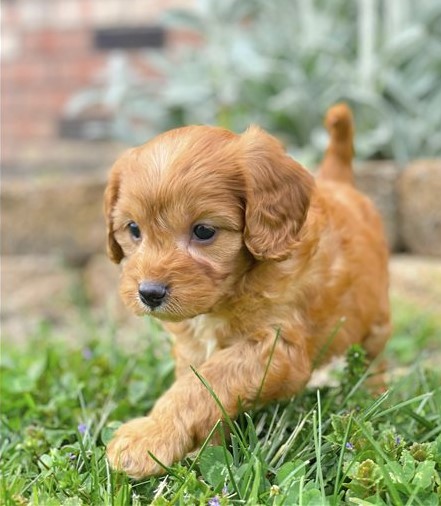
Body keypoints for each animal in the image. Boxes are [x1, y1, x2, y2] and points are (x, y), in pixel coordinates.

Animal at [105, 104, 390, 478]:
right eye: (134, 229)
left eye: (204, 231)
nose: (149, 293)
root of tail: (337, 180)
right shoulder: (193, 346)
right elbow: (198, 388)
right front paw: (199, 447)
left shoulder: (277, 347)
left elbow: (204, 383)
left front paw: (150, 436)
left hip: (377, 316)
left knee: (376, 356)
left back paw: (373, 392)